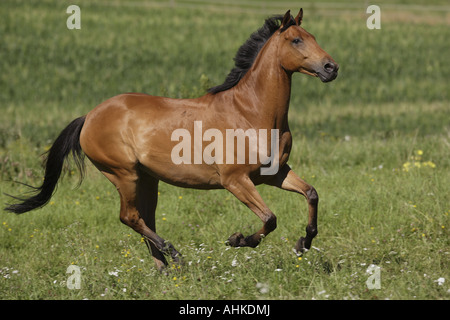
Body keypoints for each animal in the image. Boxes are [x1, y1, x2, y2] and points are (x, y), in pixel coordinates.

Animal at [5, 9, 338, 270]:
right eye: (296, 40)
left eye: (312, 36)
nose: (331, 68)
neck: (251, 113)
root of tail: (89, 116)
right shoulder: (235, 180)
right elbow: (270, 218)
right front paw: (239, 240)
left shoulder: (274, 173)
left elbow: (311, 194)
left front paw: (303, 243)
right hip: (123, 174)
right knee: (129, 216)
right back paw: (175, 256)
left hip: (147, 179)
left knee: (144, 219)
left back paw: (164, 269)